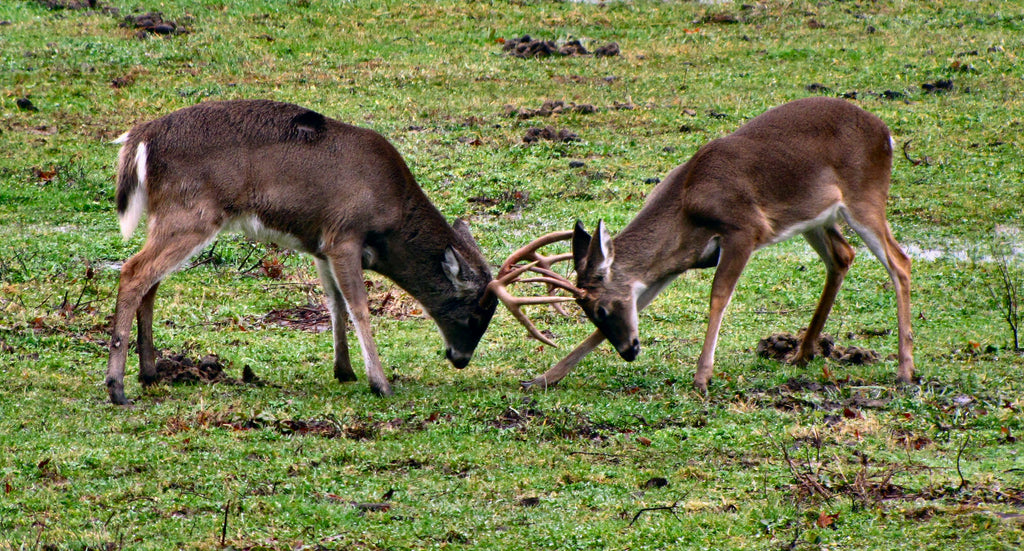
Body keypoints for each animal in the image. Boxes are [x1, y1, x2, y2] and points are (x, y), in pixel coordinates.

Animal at [105, 98, 497, 403]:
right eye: (475, 314)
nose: (460, 359)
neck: (390, 212)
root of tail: (139, 139)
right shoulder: (344, 235)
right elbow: (359, 307)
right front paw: (380, 383)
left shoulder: (321, 246)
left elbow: (335, 305)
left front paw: (345, 370)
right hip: (192, 213)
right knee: (134, 271)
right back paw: (117, 387)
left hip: (170, 216)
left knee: (151, 281)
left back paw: (149, 373)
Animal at [491, 97, 917, 391]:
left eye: (600, 307)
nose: (629, 351)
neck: (686, 203)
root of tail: (886, 134)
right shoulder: (675, 261)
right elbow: (641, 304)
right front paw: (543, 378)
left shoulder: (744, 229)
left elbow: (718, 297)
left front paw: (701, 377)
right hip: (816, 216)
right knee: (843, 256)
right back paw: (802, 353)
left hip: (864, 197)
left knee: (900, 261)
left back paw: (904, 370)